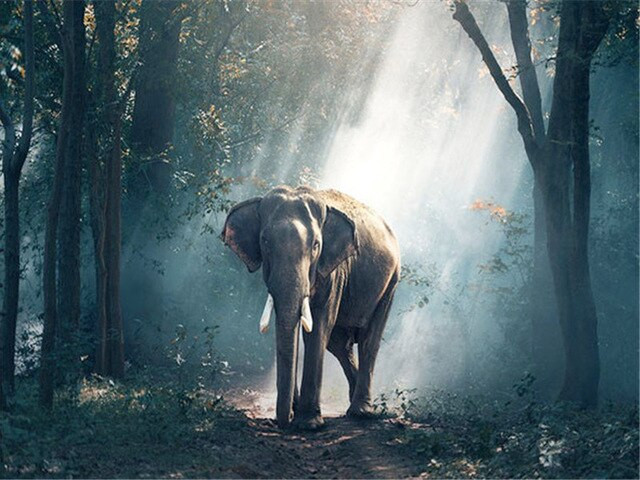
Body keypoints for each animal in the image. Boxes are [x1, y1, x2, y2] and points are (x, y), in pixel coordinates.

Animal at [222, 185, 400, 430]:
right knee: (339, 345)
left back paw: (361, 412)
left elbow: (318, 328)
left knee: (368, 340)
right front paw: (297, 414)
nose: (282, 422)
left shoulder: (333, 270)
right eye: (264, 241)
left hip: (391, 281)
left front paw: (308, 424)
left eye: (316, 245)